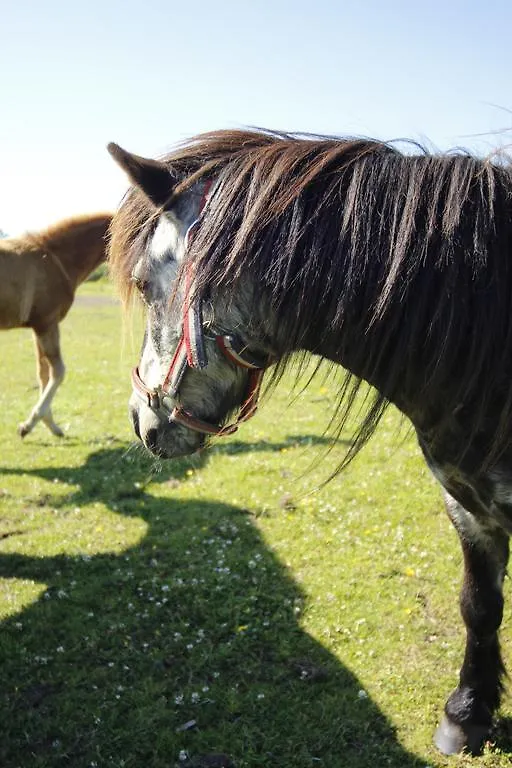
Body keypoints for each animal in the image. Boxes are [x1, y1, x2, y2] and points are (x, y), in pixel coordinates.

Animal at [0, 212, 112, 438]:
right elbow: (58, 372)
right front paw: (29, 424)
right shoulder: (47, 324)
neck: (55, 258)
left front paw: (50, 424)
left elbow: (43, 373)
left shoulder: (38, 327)